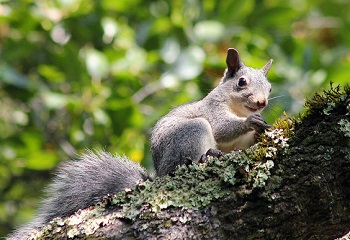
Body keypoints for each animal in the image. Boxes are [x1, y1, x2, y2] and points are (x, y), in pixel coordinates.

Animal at [6, 47, 272, 239]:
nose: (262, 103)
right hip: (191, 133)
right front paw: (250, 121)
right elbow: (222, 128)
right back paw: (206, 157)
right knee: (186, 159)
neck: (236, 107)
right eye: (242, 82)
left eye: (269, 87)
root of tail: (159, 174)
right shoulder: (213, 110)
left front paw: (262, 127)